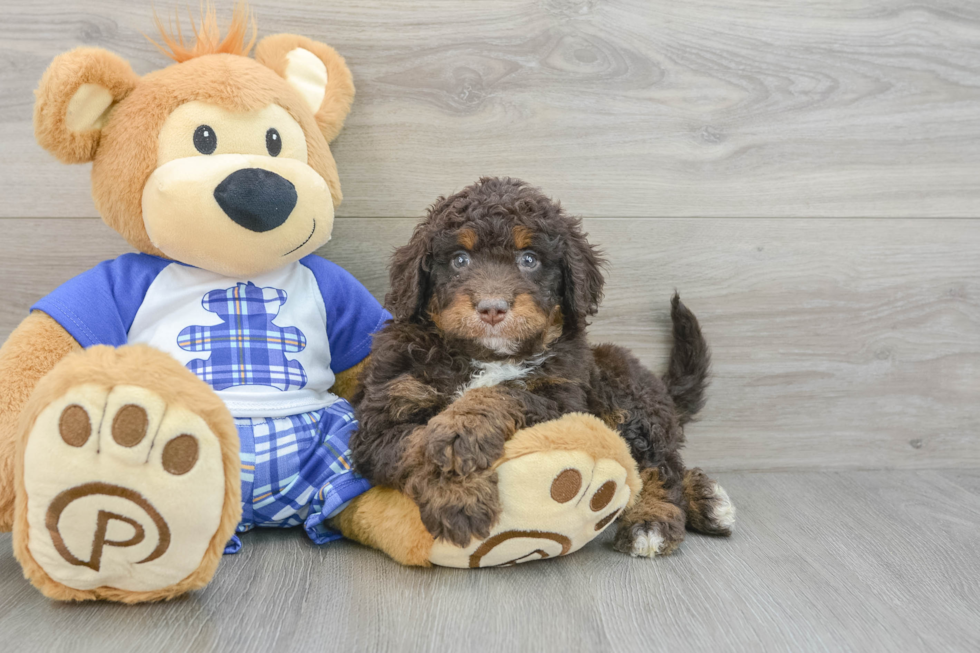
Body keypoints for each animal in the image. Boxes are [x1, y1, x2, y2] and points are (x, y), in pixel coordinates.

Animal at [352, 176, 736, 552]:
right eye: (460, 259)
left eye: (529, 259)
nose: (492, 308)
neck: (486, 356)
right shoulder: (383, 418)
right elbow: (415, 445)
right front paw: (458, 496)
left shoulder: (560, 399)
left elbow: (505, 392)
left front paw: (460, 434)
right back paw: (707, 501)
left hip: (622, 391)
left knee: (657, 465)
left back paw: (657, 520)